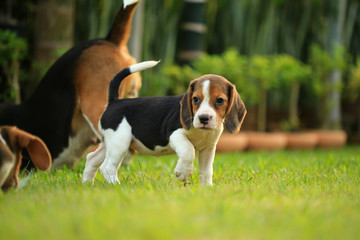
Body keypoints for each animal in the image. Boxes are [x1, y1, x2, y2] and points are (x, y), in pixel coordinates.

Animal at [82, 61, 246, 186]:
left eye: (220, 100)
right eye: (195, 99)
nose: (204, 118)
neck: (200, 132)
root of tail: (114, 101)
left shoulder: (208, 148)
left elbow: (206, 171)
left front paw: (207, 188)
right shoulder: (174, 135)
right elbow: (188, 150)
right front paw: (183, 173)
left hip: (109, 142)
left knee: (91, 159)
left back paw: (87, 184)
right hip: (119, 142)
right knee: (107, 167)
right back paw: (116, 186)